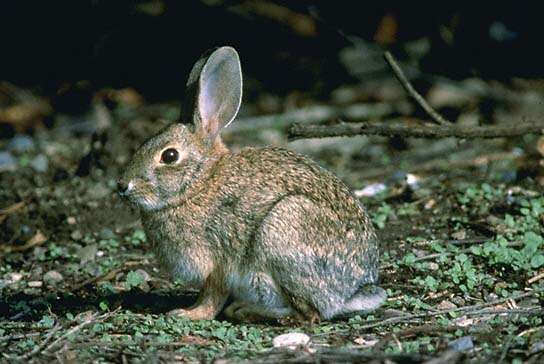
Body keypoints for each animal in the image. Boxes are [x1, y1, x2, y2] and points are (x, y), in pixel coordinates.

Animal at [118, 46, 386, 322]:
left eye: (169, 156)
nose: (122, 185)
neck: (198, 185)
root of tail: (350, 293)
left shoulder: (218, 263)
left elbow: (211, 297)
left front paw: (187, 313)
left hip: (283, 230)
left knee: (308, 314)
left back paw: (248, 310)